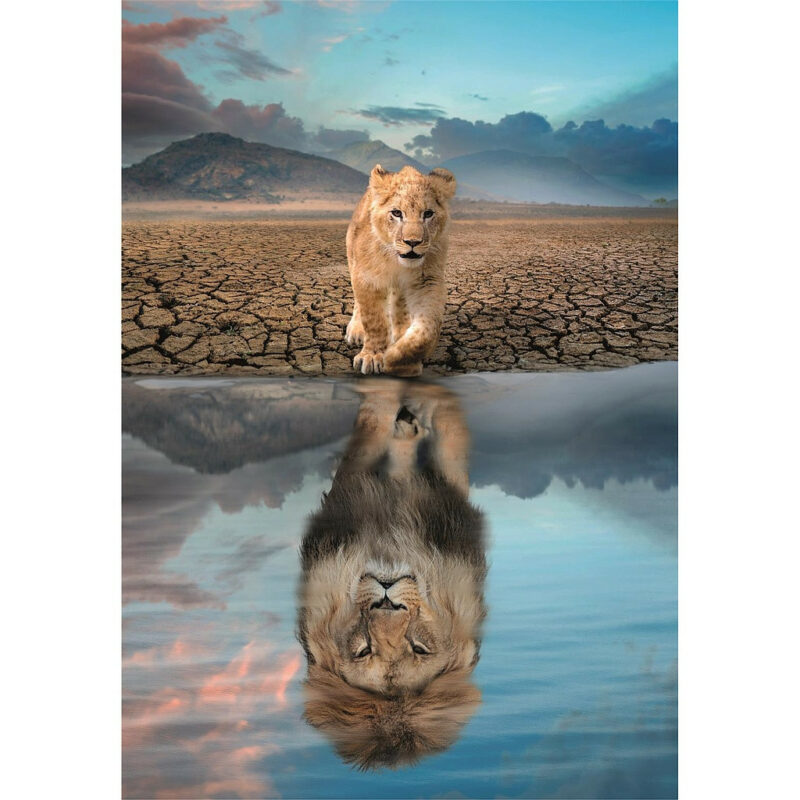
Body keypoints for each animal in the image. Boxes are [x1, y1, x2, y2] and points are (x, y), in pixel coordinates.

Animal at [297, 380, 486, 769]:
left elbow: (451, 436)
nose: (387, 594)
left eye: (419, 648)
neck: (392, 543)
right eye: (363, 651)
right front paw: (387, 394)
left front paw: (432, 398)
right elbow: (371, 427)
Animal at [345, 164, 457, 377]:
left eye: (428, 213)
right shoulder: (367, 278)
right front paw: (373, 356)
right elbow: (374, 319)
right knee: (358, 303)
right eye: (397, 213)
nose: (412, 242)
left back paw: (400, 333)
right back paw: (356, 330)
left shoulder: (427, 280)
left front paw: (400, 360)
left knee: (400, 304)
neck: (396, 261)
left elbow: (428, 328)